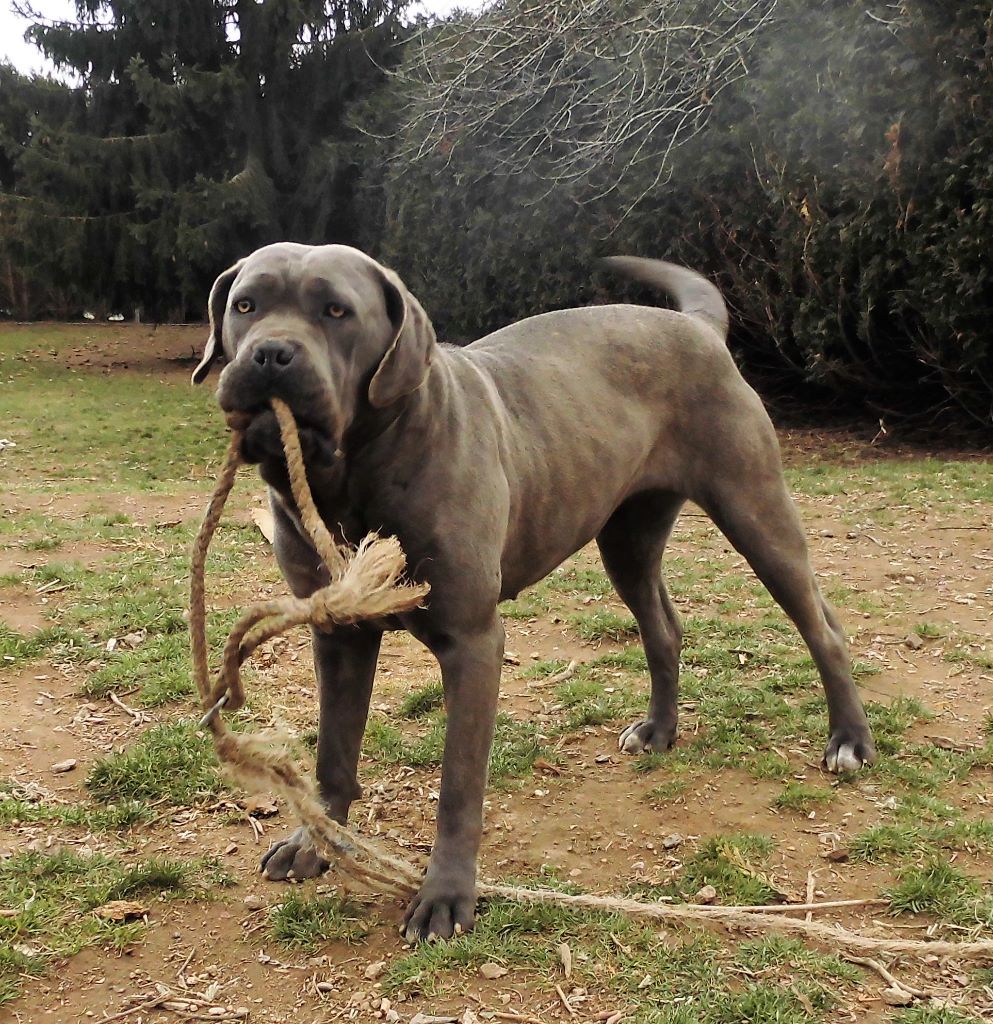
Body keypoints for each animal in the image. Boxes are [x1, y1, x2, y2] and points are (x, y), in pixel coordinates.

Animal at [193, 243, 876, 937]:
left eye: (336, 311)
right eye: (246, 305)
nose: (271, 354)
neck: (356, 472)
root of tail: (697, 328)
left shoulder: (471, 639)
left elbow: (458, 784)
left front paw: (445, 896)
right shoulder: (337, 632)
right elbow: (333, 751)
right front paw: (314, 844)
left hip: (755, 511)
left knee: (823, 628)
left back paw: (849, 740)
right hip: (628, 540)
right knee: (663, 628)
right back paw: (658, 730)